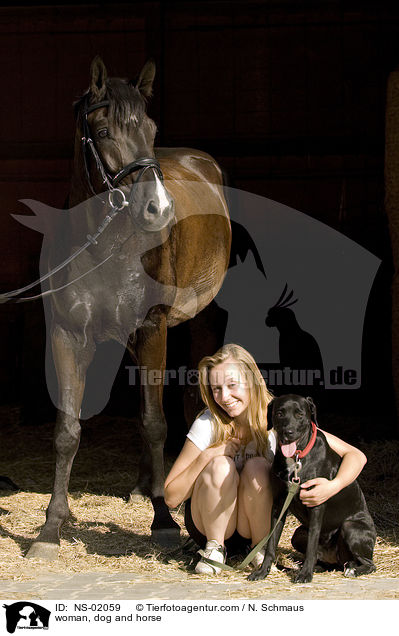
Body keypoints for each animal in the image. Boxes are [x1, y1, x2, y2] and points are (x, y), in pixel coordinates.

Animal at [25, 56, 231, 560]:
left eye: (151, 128)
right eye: (102, 131)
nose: (158, 209)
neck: (104, 243)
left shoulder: (152, 327)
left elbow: (154, 423)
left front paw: (164, 522)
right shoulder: (66, 334)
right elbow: (67, 430)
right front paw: (51, 527)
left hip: (195, 321)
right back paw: (142, 485)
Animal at [250, 396, 378, 584]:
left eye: (299, 414)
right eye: (279, 413)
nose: (288, 432)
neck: (296, 458)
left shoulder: (317, 504)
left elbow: (312, 545)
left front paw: (305, 575)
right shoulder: (279, 504)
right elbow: (271, 544)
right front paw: (262, 571)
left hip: (350, 527)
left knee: (369, 564)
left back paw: (352, 570)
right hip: (298, 534)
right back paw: (320, 567)